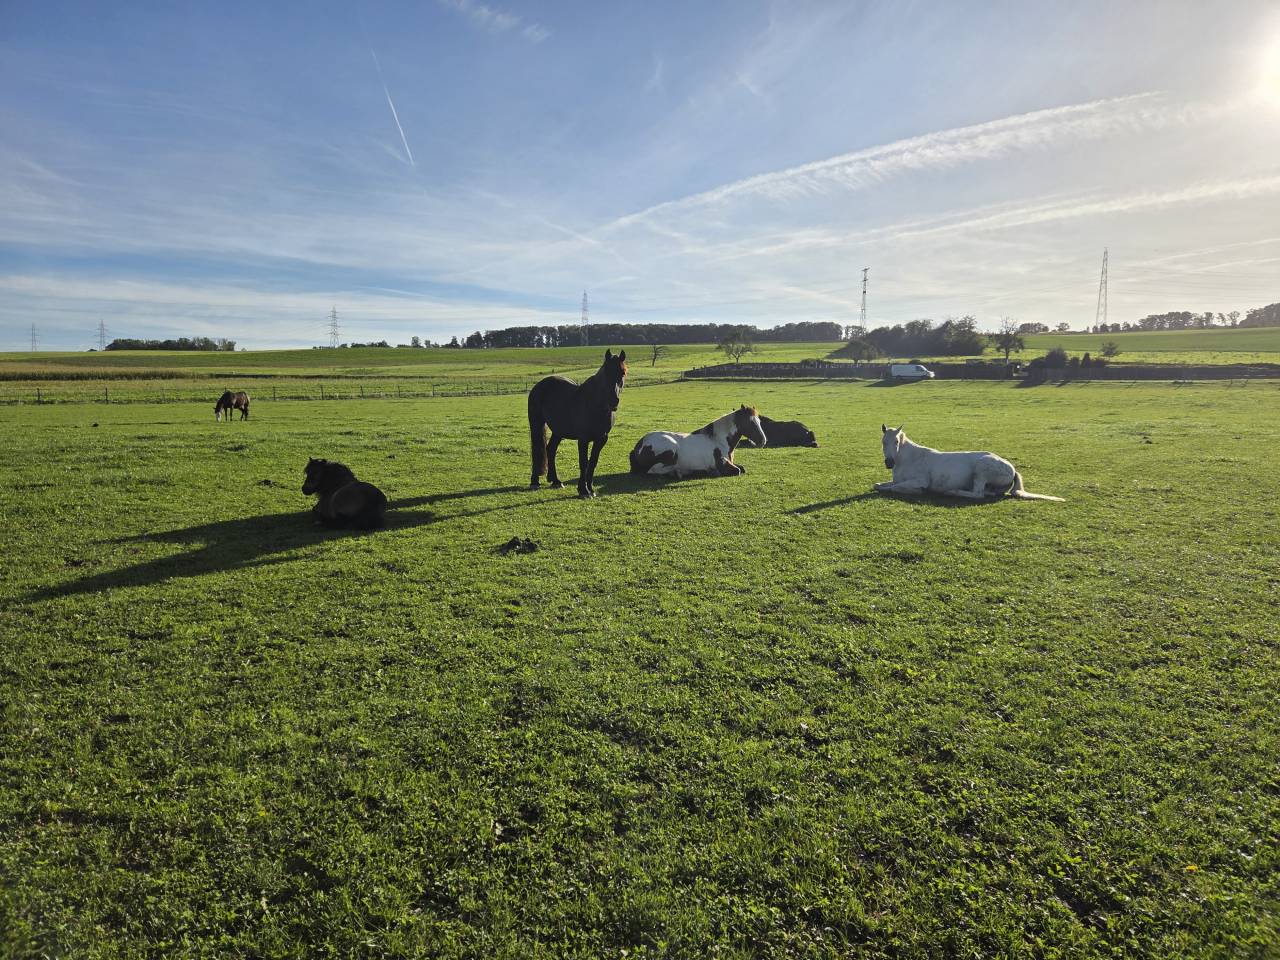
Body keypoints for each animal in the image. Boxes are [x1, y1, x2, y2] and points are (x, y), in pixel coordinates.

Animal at [528, 349, 628, 498]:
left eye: (622, 373)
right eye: (606, 372)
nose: (613, 401)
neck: (595, 404)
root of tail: (540, 385)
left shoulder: (601, 439)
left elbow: (592, 462)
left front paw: (591, 489)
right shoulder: (583, 439)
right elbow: (584, 463)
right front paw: (583, 490)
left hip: (558, 430)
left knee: (550, 449)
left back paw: (556, 481)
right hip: (536, 424)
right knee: (537, 451)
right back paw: (535, 481)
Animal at [629, 405, 767, 478]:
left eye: (759, 421)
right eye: (750, 422)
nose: (763, 441)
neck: (718, 440)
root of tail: (639, 445)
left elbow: (742, 468)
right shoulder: (722, 465)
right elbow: (737, 471)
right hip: (671, 451)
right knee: (652, 471)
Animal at [875, 425, 1064, 501]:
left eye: (896, 442)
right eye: (883, 442)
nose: (889, 463)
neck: (909, 458)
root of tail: (1012, 469)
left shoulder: (919, 481)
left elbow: (894, 488)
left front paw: (918, 492)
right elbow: (878, 485)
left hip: (981, 471)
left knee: (978, 494)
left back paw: (953, 492)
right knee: (987, 493)